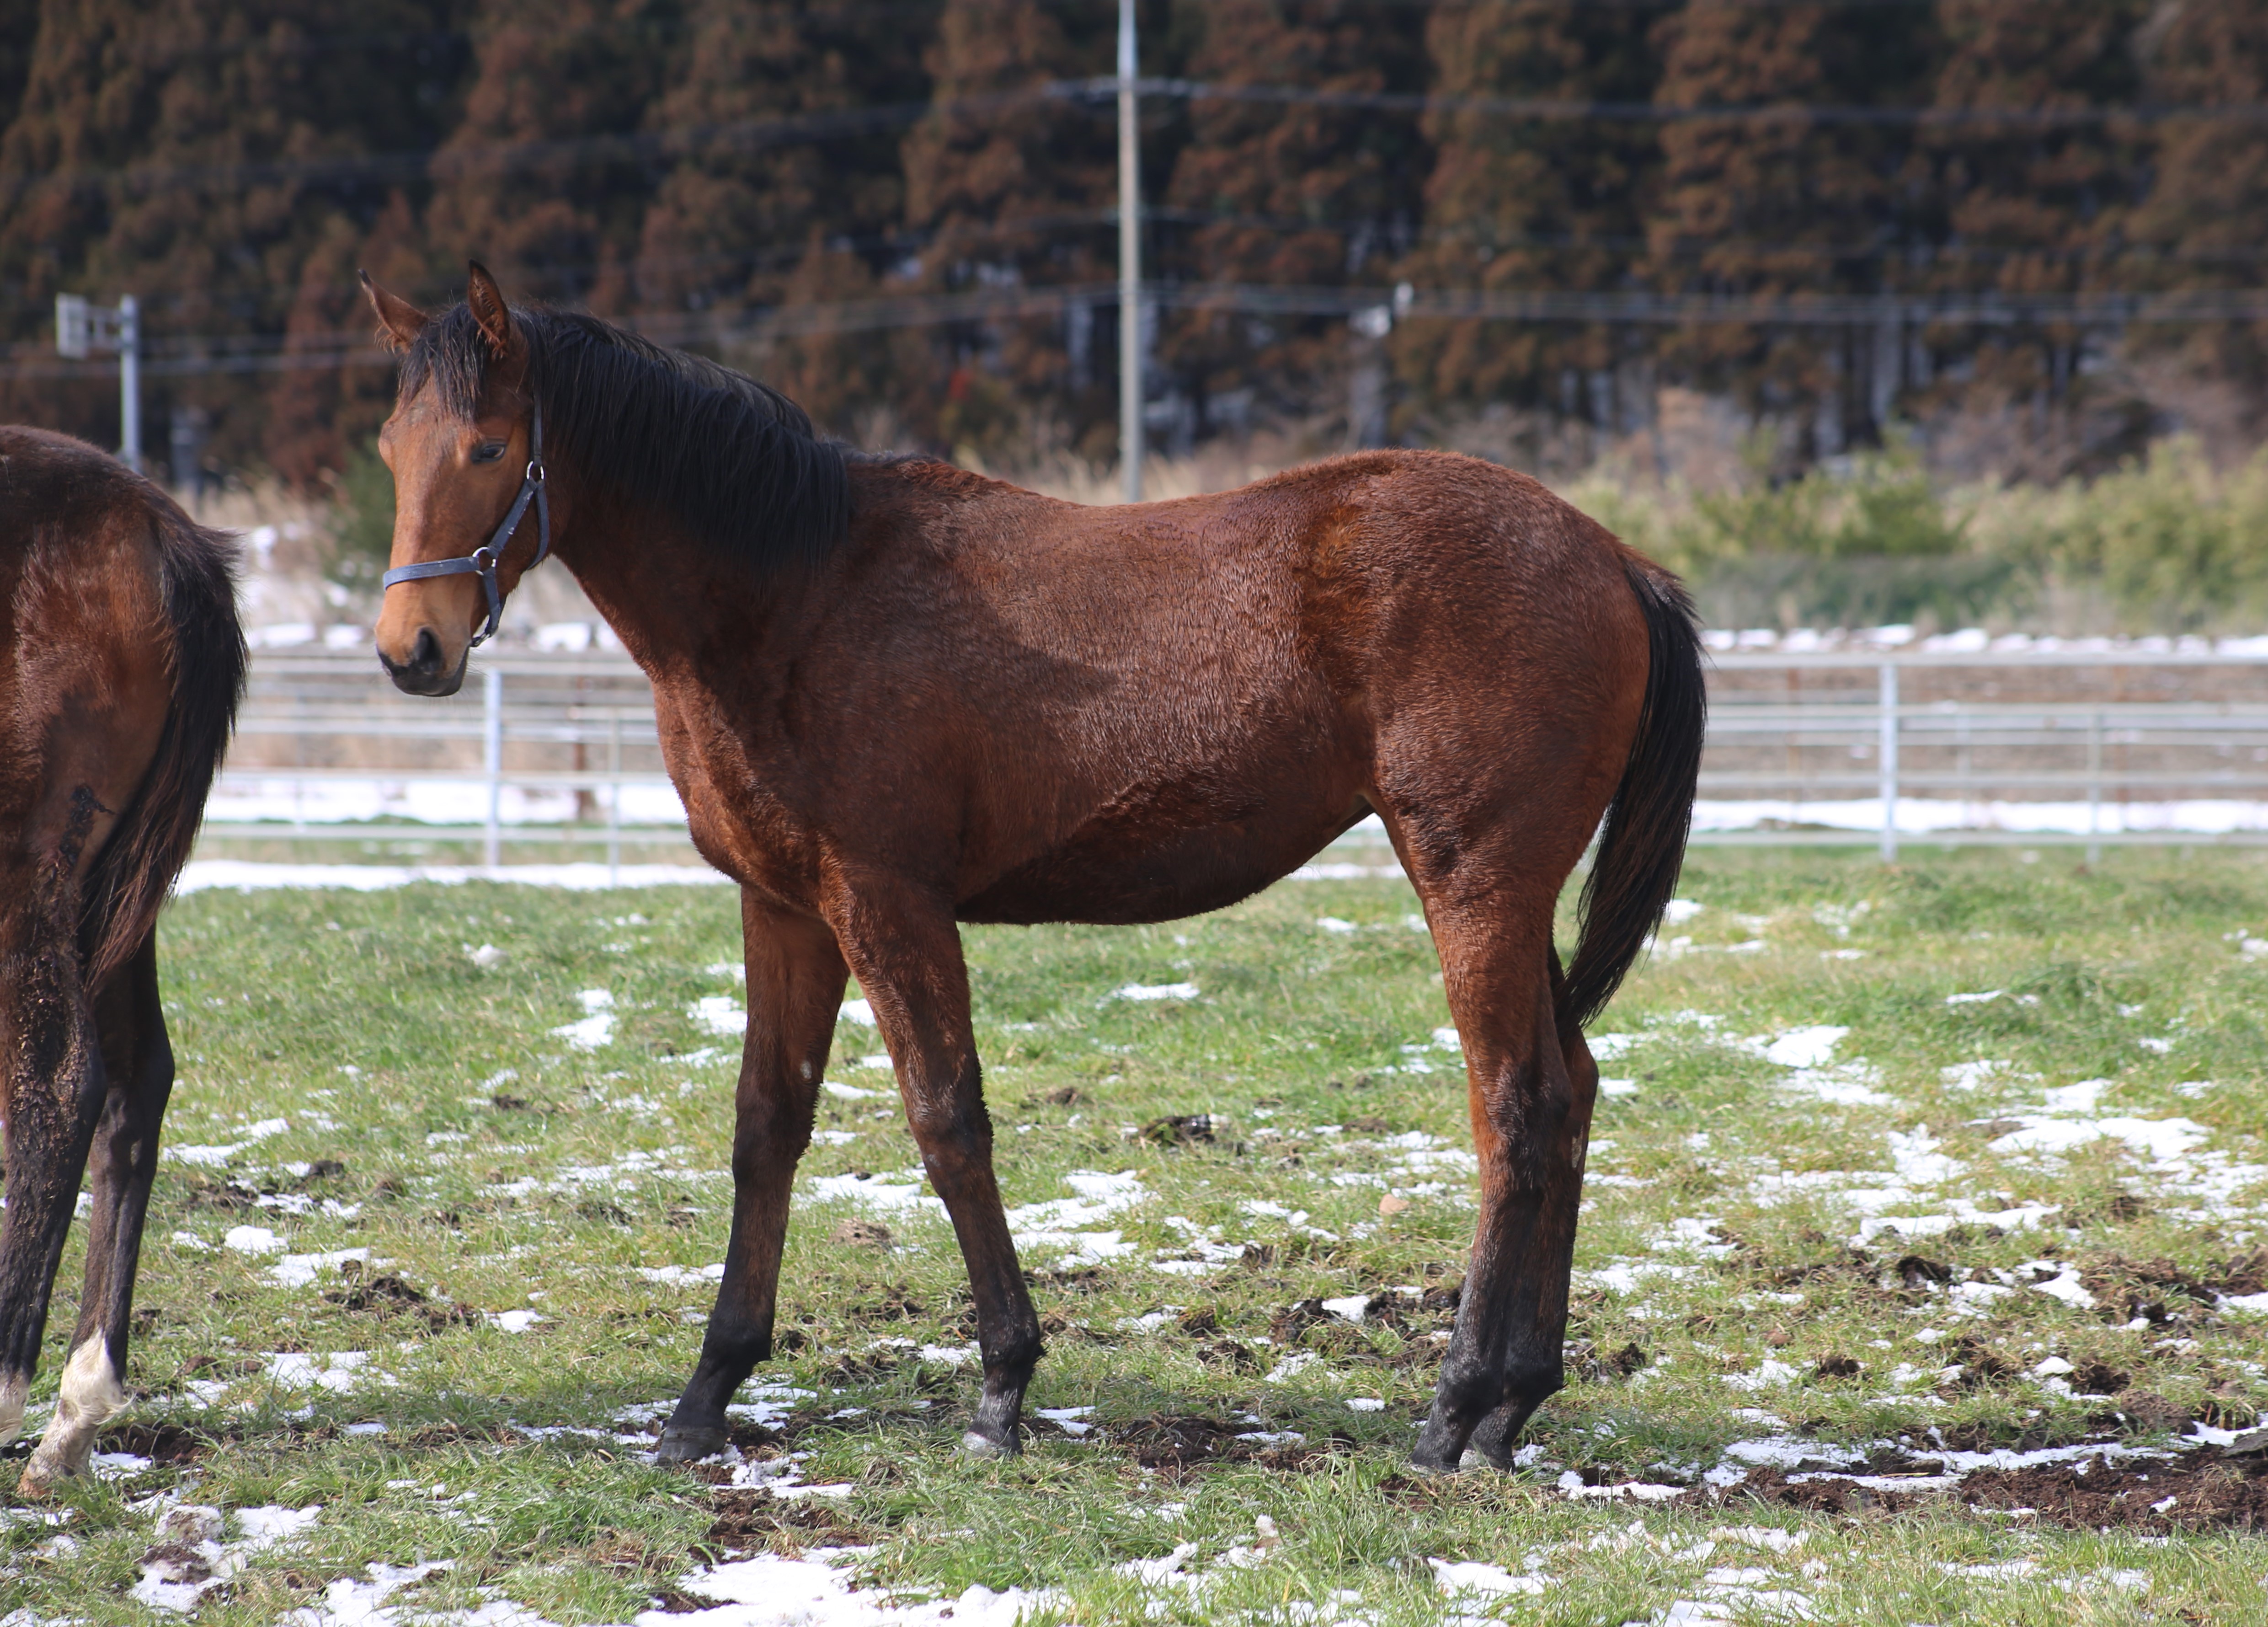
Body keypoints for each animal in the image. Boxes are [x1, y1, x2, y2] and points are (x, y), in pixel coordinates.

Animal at [358, 267, 1705, 1470]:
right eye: (389, 447)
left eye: (486, 447)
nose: (408, 650)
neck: (794, 590)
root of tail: (1612, 557)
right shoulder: (785, 909)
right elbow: (766, 1127)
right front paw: (704, 1398)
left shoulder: (885, 900)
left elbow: (947, 1119)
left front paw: (1003, 1384)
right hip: (1509, 893)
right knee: (1569, 1091)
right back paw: (1512, 1404)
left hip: (1471, 877)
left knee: (1513, 1105)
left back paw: (1453, 1407)